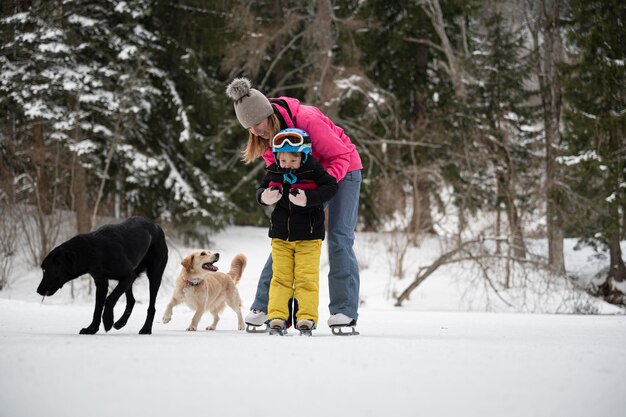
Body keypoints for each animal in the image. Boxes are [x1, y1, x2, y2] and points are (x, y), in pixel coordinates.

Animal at [36, 216, 167, 334]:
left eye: (45, 270)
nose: (38, 290)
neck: (93, 251)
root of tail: (157, 226)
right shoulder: (101, 282)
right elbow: (97, 308)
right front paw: (92, 329)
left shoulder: (128, 275)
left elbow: (109, 299)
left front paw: (108, 320)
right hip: (130, 279)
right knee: (131, 301)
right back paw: (120, 323)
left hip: (154, 275)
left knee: (151, 307)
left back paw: (146, 329)